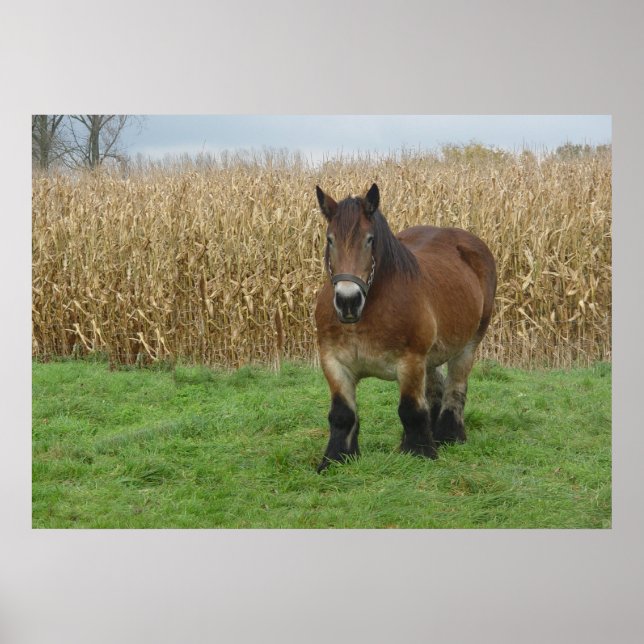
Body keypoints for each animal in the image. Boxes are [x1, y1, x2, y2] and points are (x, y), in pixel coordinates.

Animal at [314, 183, 497, 472]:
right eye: (330, 239)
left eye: (369, 240)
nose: (348, 301)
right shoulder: (333, 362)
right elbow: (342, 414)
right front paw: (336, 459)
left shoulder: (410, 362)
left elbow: (410, 410)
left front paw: (420, 452)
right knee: (435, 386)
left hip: (468, 345)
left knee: (455, 386)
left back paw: (449, 435)